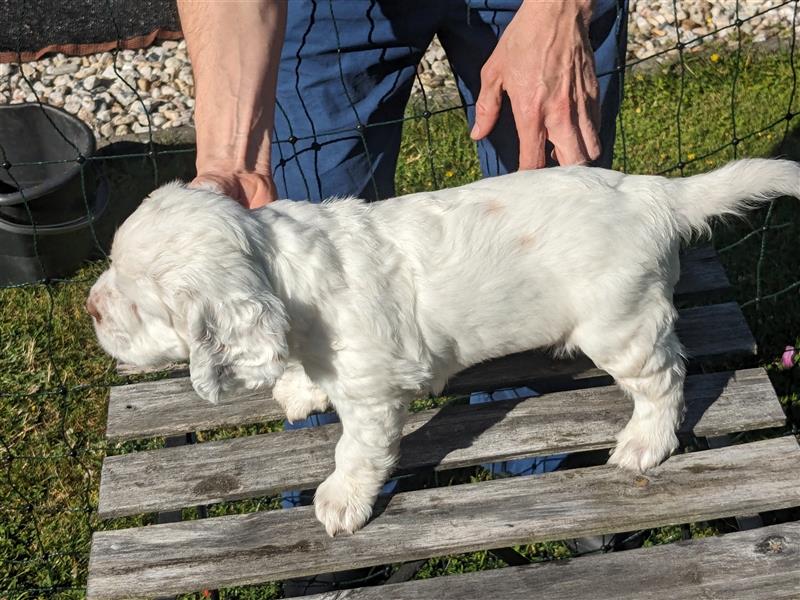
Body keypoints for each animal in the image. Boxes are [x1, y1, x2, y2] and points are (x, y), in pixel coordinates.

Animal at [89, 158, 800, 536]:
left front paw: (341, 500)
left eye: (137, 305)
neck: (281, 265)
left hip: (619, 326)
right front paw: (297, 387)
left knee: (665, 378)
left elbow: (355, 450)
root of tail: (654, 193)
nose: (90, 308)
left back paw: (644, 444)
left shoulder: (372, 395)